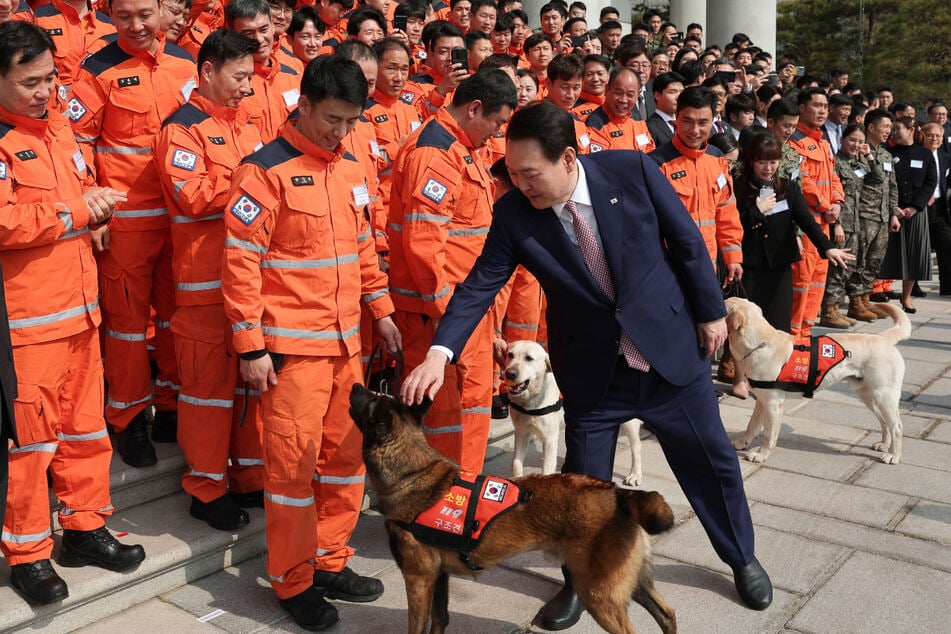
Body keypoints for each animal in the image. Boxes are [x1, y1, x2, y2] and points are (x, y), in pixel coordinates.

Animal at [350, 382, 676, 632]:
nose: (354, 385)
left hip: (599, 593)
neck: (412, 473)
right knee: (668, 614)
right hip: (631, 583)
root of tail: (618, 494)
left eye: (373, 399)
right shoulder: (438, 577)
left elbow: (418, 625)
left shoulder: (418, 579)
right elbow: (440, 620)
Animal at [502, 340, 644, 484]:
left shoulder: (550, 438)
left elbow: (547, 468)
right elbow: (516, 463)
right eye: (510, 355)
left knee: (637, 446)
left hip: (629, 421)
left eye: (529, 358)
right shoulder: (521, 432)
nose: (510, 373)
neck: (531, 401)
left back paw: (635, 475)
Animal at [724, 296, 912, 464]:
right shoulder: (761, 400)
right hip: (868, 395)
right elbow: (751, 425)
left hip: (884, 395)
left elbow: (768, 434)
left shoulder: (773, 403)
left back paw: (893, 456)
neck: (760, 344)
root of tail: (883, 338)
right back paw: (884, 445)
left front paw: (761, 455)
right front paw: (742, 443)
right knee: (885, 422)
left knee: (897, 426)